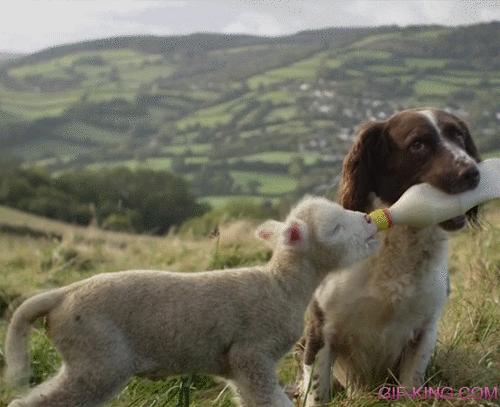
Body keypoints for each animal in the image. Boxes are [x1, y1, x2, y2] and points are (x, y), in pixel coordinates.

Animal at [3, 196, 378, 406]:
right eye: (334, 228)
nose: (369, 220)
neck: (280, 286)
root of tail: (61, 295)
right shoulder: (251, 354)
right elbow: (273, 400)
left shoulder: (235, 368)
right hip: (98, 358)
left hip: (86, 359)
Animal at [296, 107, 480, 404]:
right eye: (418, 144)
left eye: (459, 136)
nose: (473, 172)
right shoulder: (322, 330)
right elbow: (316, 392)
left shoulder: (425, 330)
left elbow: (409, 386)